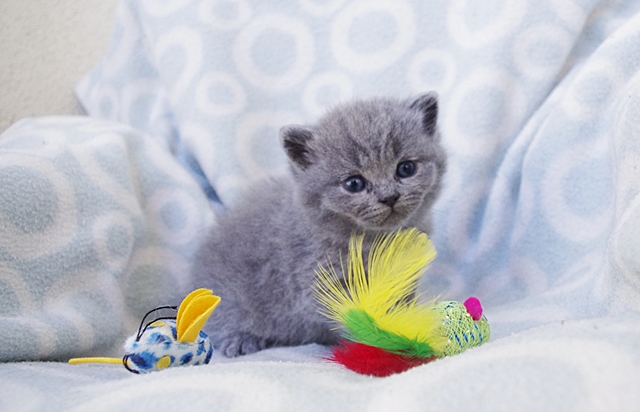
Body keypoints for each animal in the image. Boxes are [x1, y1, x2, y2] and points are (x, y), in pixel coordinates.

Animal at [191, 93, 447, 357]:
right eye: (354, 183)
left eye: (406, 168)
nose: (389, 197)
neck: (375, 238)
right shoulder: (324, 281)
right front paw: (385, 345)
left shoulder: (403, 277)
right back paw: (241, 340)